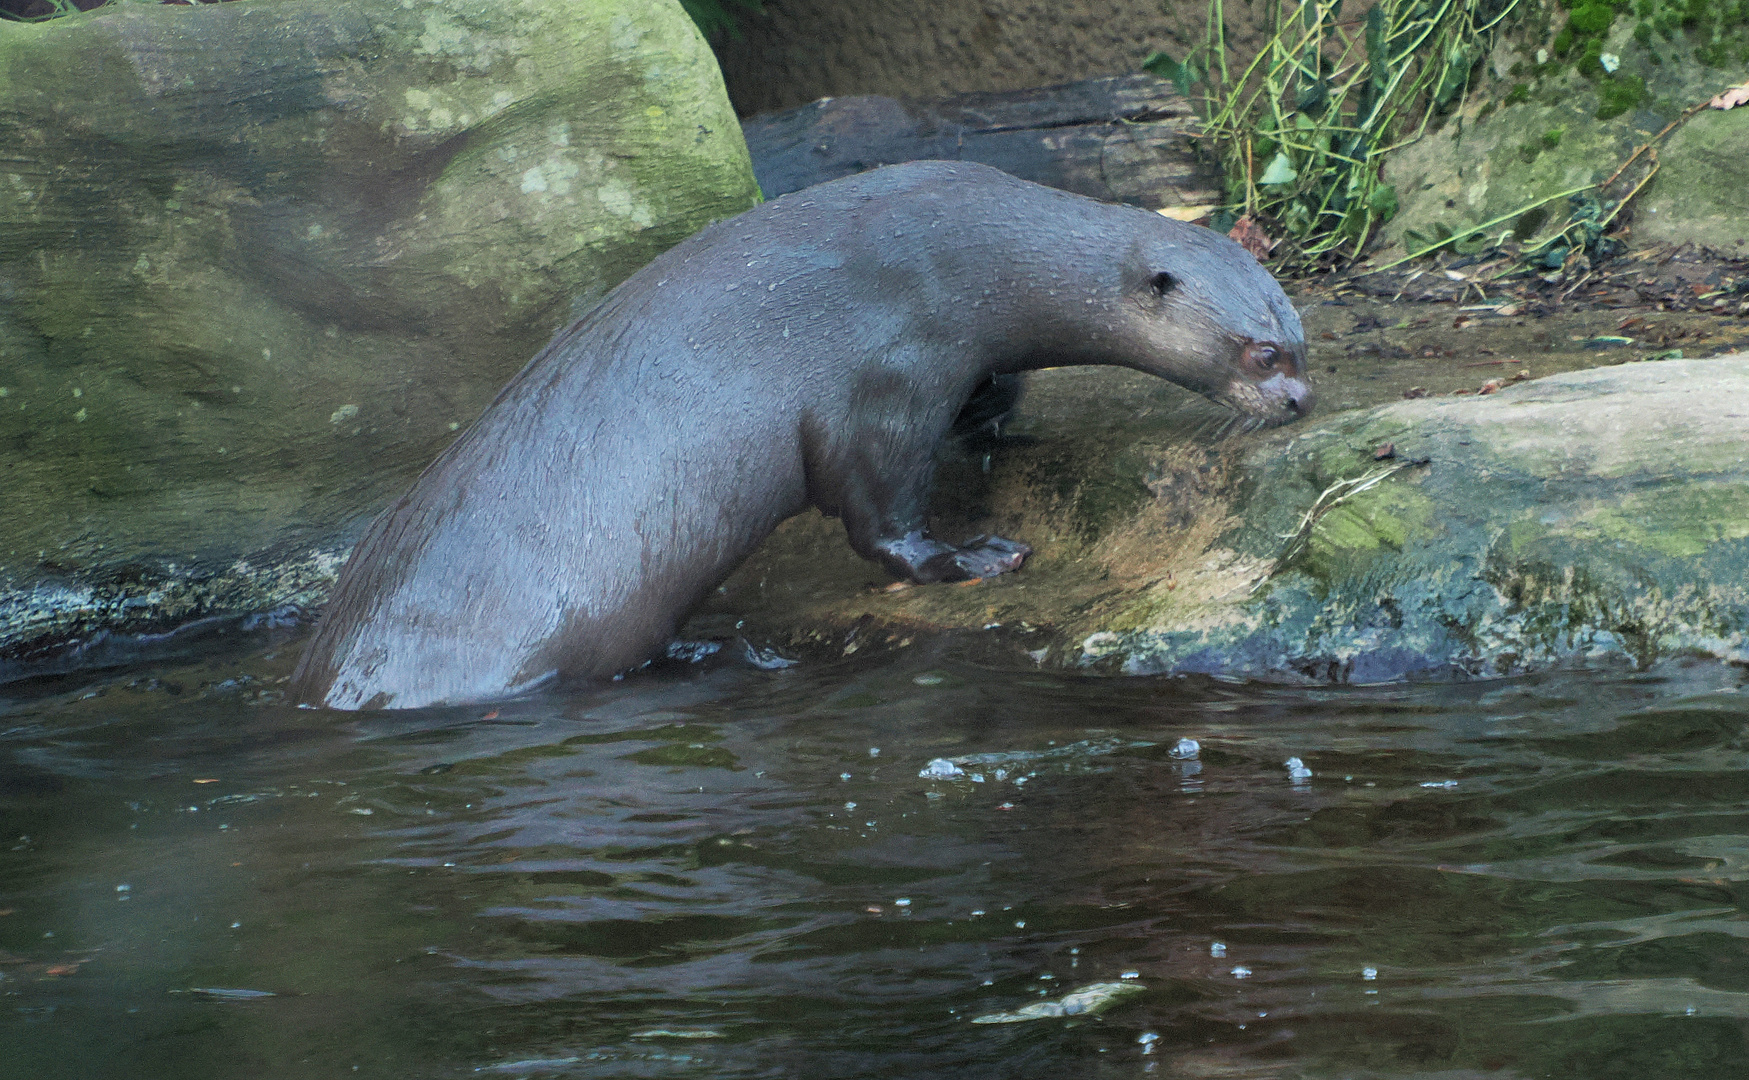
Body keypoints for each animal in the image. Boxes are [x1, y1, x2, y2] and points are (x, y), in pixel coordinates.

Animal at [286, 160, 1308, 707]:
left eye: (1299, 340)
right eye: (1260, 353)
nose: (1298, 400)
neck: (965, 255)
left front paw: (994, 424)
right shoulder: (897, 365)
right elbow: (878, 512)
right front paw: (974, 555)